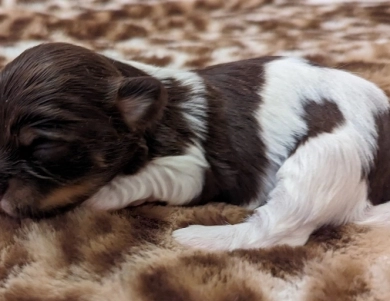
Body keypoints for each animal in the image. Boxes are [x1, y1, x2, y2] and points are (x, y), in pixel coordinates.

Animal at [0, 41, 390, 250]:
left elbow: (136, 181)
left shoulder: (190, 167)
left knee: (277, 229)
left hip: (323, 161)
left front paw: (98, 198)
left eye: (43, 147)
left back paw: (198, 238)